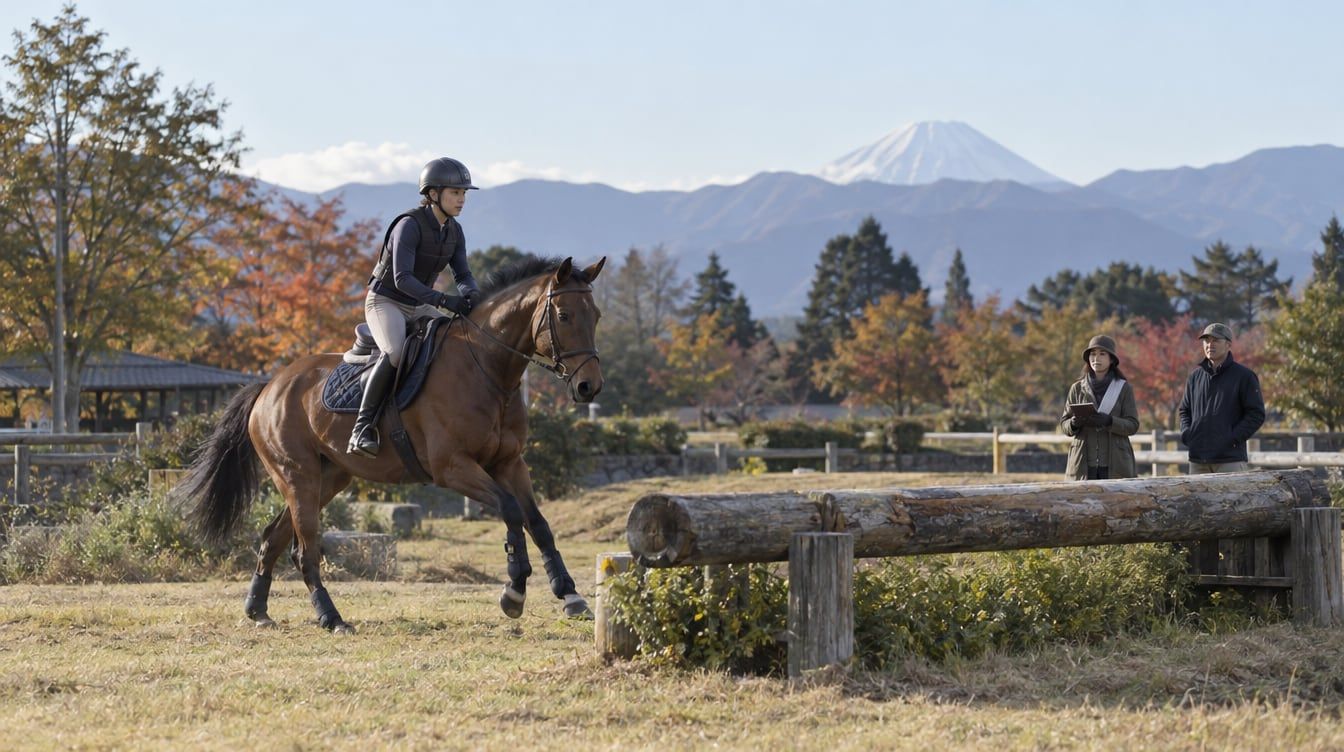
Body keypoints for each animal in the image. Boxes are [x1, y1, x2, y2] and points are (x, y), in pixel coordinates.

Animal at [177, 255, 606, 633]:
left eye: (596, 316)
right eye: (564, 316)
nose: (589, 387)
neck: (487, 367)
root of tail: (270, 386)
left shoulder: (510, 463)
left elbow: (538, 523)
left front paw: (571, 596)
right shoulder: (453, 468)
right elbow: (511, 510)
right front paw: (514, 592)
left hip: (328, 479)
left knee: (274, 538)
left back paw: (258, 611)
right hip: (297, 476)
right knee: (305, 549)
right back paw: (331, 618)